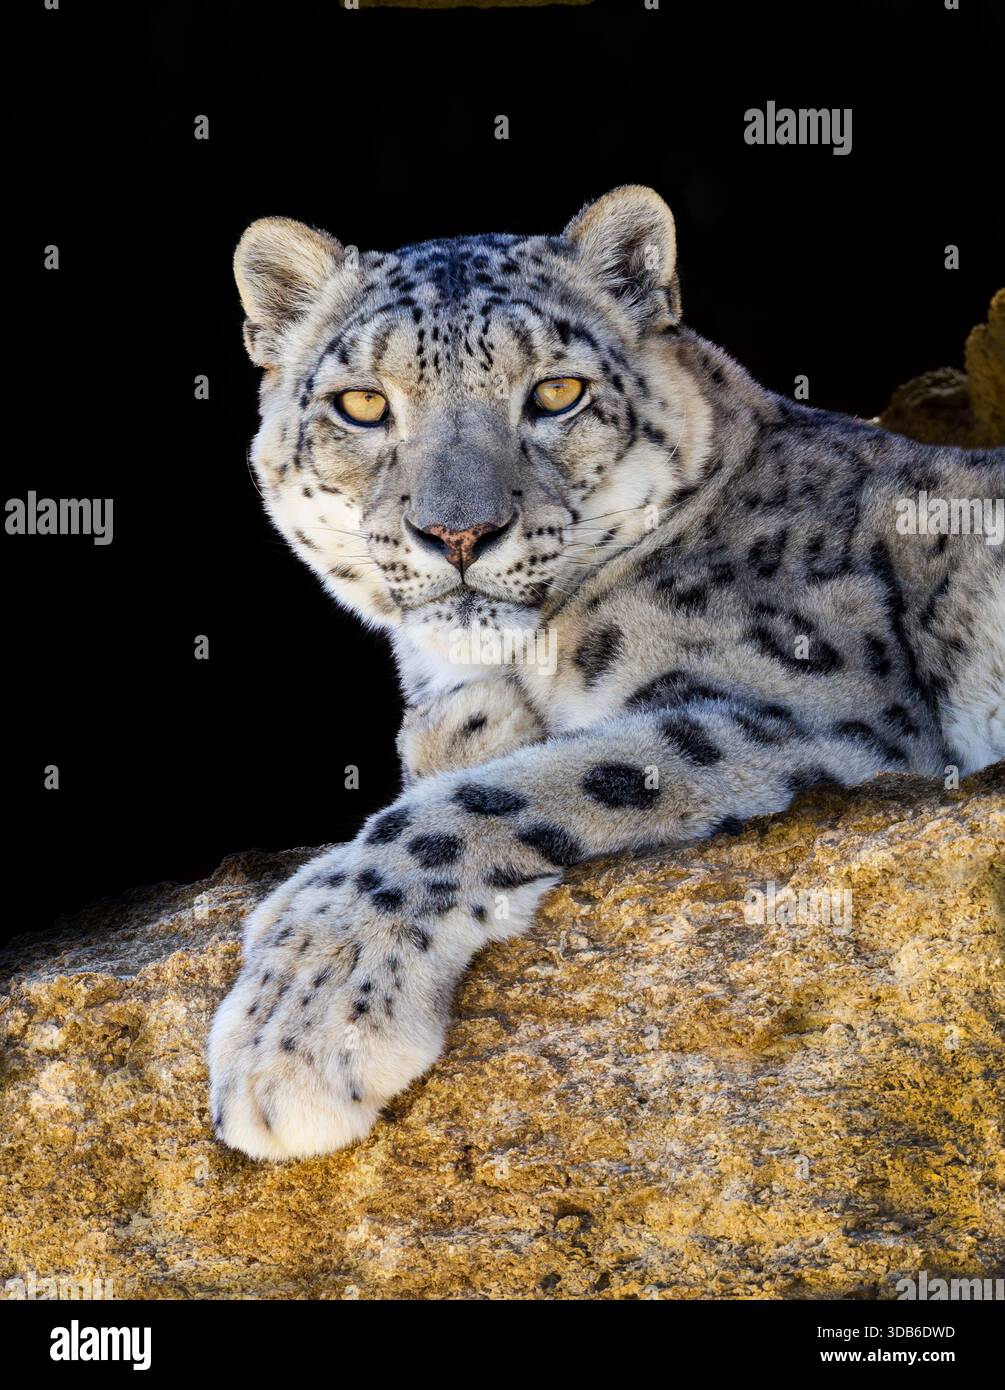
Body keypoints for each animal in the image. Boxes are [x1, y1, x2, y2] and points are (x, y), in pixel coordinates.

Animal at [210, 185, 1004, 1160]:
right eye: (361, 404)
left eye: (556, 391)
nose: (458, 532)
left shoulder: (823, 717)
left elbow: (489, 801)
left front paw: (295, 1033)